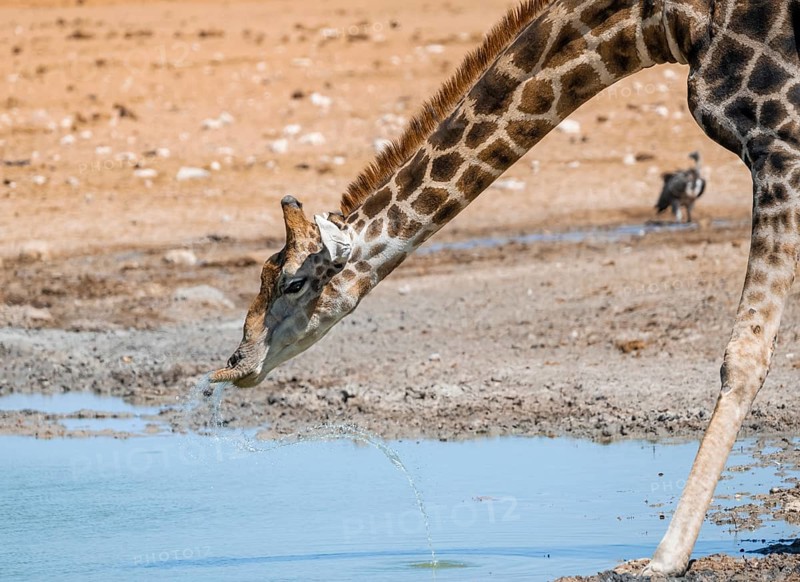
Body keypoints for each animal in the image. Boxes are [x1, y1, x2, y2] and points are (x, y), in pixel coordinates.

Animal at [208, 0, 800, 575]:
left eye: (293, 282)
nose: (234, 365)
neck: (667, 23)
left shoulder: (779, 143)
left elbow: (744, 355)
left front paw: (663, 559)